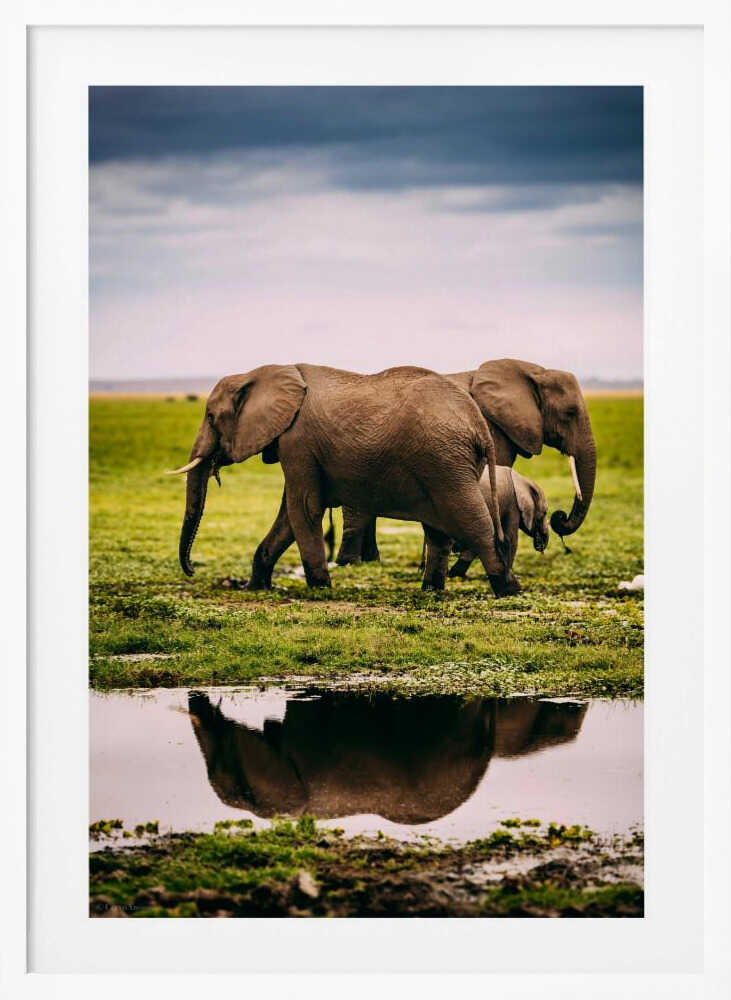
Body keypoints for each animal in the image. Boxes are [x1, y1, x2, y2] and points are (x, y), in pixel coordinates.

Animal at [168, 364, 517, 595]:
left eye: (211, 417)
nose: (191, 569)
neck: (264, 373)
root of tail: (479, 423)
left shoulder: (298, 441)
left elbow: (302, 508)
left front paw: (320, 588)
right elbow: (287, 515)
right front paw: (255, 587)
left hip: (445, 462)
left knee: (473, 521)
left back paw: (508, 589)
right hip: (442, 465)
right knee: (439, 531)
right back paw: (431, 590)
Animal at [336, 358, 596, 565]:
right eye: (570, 412)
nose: (560, 518)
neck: (533, 371)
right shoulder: (494, 429)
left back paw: (369, 560)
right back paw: (351, 562)